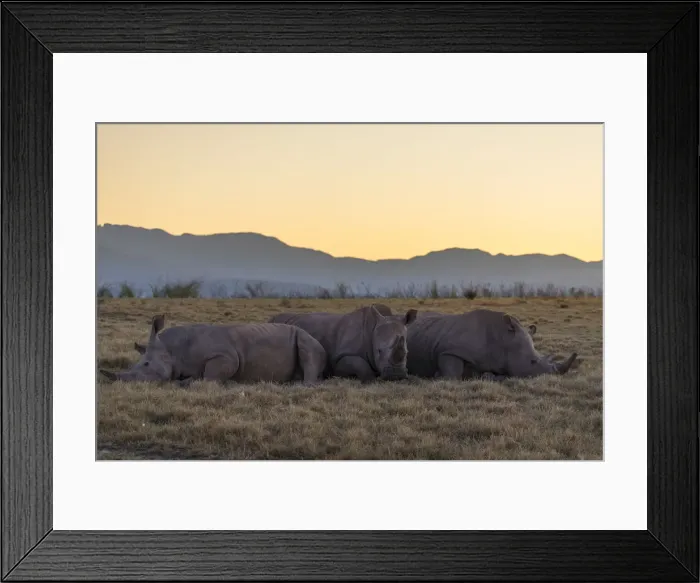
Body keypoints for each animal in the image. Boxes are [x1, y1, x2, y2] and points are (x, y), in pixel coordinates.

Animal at [100, 314, 327, 385]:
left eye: (147, 364)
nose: (120, 383)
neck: (172, 351)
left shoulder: (226, 357)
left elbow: (209, 376)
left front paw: (190, 383)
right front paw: (184, 380)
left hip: (308, 338)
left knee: (309, 351)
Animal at [269, 305, 418, 381]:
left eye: (407, 352)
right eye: (379, 351)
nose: (396, 375)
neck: (372, 329)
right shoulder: (339, 358)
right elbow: (360, 365)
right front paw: (370, 379)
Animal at [406, 308, 576, 380]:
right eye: (532, 362)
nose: (551, 377)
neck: (503, 339)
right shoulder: (448, 350)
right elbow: (452, 374)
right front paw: (437, 375)